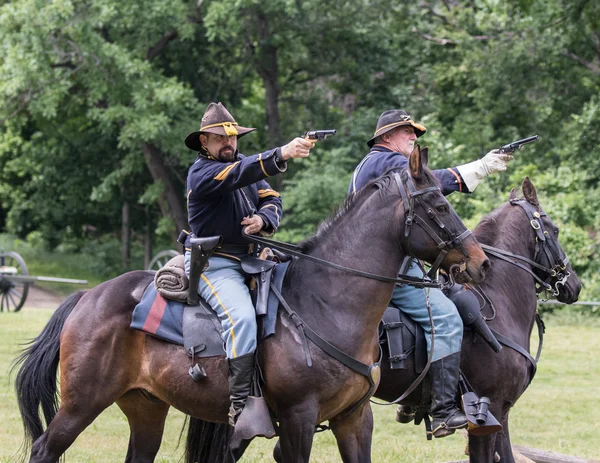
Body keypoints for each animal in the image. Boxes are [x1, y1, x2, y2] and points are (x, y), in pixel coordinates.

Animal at [14, 147, 490, 463]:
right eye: (438, 205)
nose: (480, 263)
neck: (327, 303)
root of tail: (87, 297)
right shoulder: (298, 420)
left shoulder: (354, 420)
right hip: (81, 405)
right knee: (44, 449)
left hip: (146, 408)